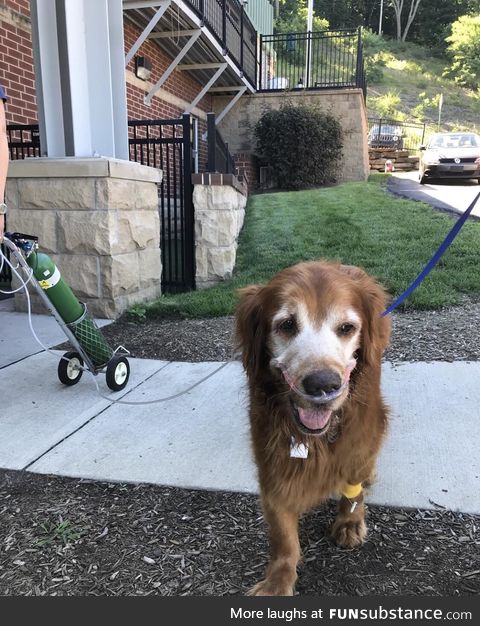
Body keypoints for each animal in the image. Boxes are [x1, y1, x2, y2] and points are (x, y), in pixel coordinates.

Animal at [235, 260, 390, 596]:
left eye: (346, 328)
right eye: (287, 325)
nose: (323, 385)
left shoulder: (360, 436)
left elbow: (353, 485)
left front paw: (349, 521)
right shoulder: (272, 457)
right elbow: (282, 532)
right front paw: (278, 580)